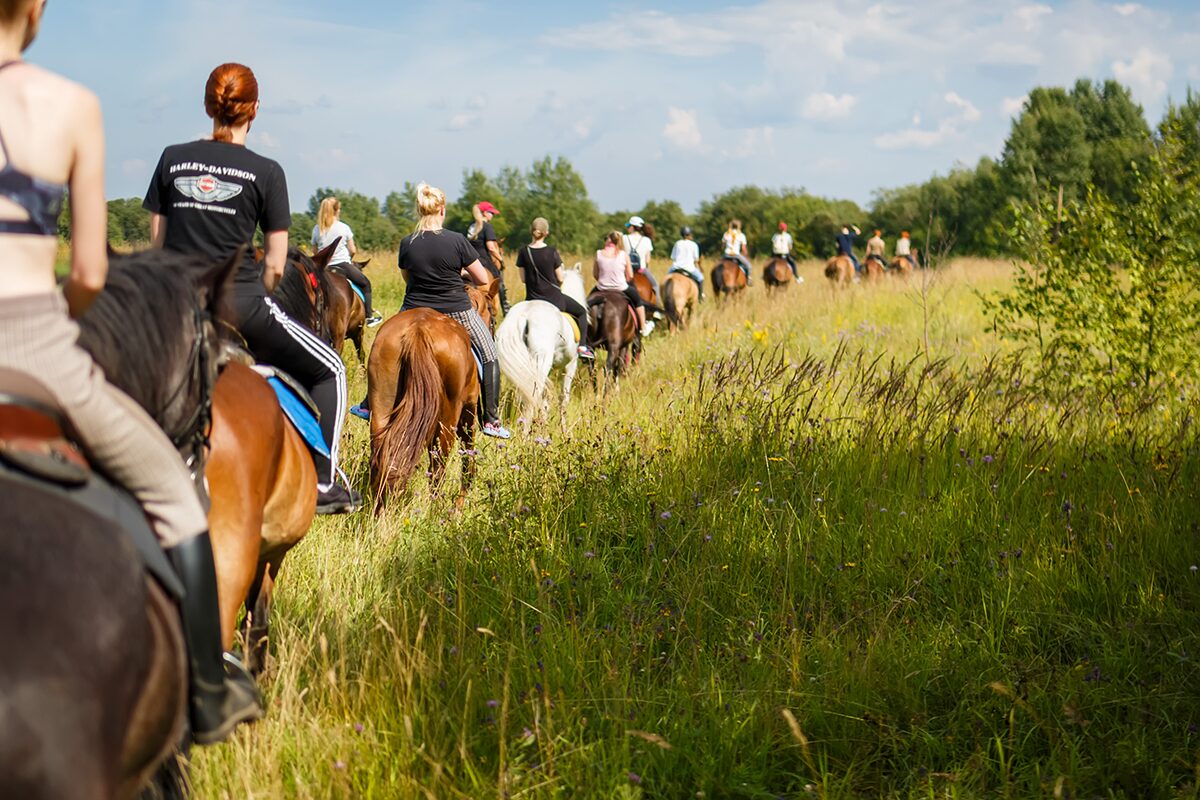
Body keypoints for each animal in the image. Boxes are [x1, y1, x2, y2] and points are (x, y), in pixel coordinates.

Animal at [364, 278, 496, 510]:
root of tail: (419, 330)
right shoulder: (468, 412)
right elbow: (468, 459)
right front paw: (460, 504)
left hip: (382, 404)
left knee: (382, 457)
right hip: (448, 420)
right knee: (437, 468)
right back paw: (438, 511)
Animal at [494, 263, 583, 429]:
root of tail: (525, 314)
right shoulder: (570, 365)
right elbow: (563, 399)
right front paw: (564, 429)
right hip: (540, 362)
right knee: (530, 402)